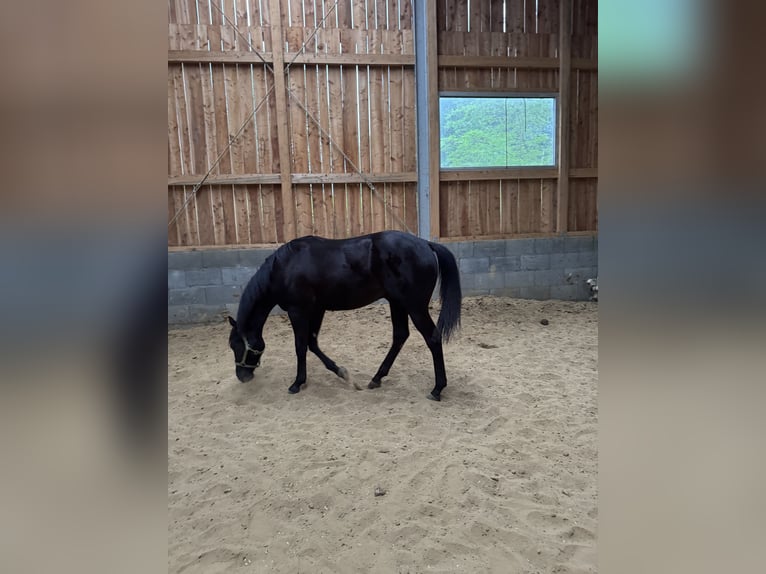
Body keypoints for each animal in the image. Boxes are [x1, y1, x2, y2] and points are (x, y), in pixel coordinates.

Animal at [227, 230, 462, 401]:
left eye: (236, 345)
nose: (242, 376)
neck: (285, 267)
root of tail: (425, 244)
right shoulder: (317, 309)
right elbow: (312, 344)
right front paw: (342, 372)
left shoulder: (298, 311)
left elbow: (301, 346)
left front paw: (297, 383)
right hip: (397, 303)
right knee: (400, 336)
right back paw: (376, 378)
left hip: (415, 307)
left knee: (432, 338)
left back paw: (437, 389)